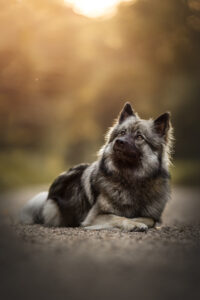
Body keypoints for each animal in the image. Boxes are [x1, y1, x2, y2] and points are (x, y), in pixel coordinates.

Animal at [20, 103, 173, 232]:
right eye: (122, 133)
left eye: (140, 137)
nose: (119, 142)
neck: (129, 178)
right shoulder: (95, 216)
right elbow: (119, 217)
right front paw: (133, 223)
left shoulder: (152, 216)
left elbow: (149, 219)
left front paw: (137, 220)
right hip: (53, 209)